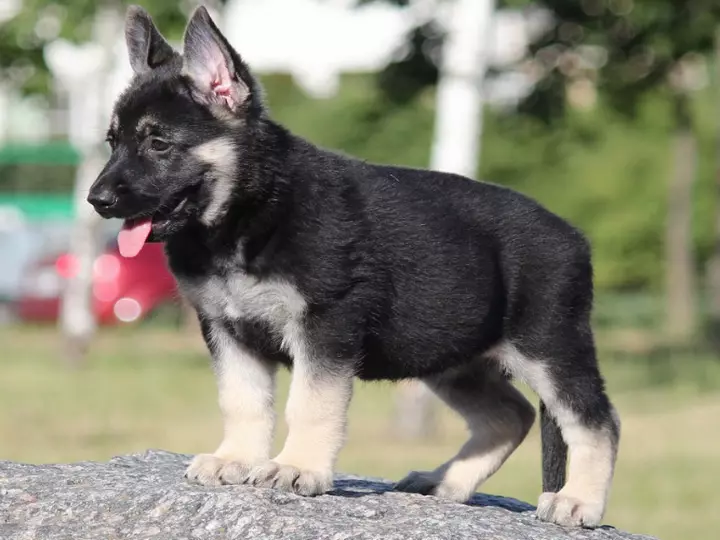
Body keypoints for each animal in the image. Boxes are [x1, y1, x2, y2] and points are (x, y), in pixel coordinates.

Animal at [88, 4, 620, 528]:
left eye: (158, 143)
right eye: (113, 142)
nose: (97, 200)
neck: (250, 213)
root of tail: (578, 239)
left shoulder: (325, 326)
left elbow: (310, 403)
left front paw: (297, 467)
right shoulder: (227, 330)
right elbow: (242, 402)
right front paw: (235, 459)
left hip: (549, 349)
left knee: (596, 422)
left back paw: (578, 503)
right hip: (452, 359)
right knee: (510, 416)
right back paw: (444, 482)